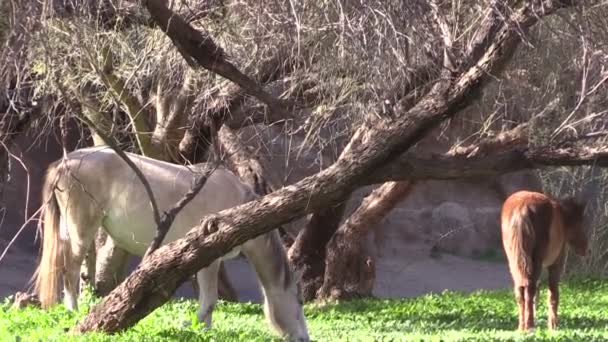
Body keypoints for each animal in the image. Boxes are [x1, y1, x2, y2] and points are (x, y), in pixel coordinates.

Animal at [33, 146, 308, 340]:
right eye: (300, 303)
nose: (304, 338)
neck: (239, 205)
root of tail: (65, 162)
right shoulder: (210, 258)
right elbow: (210, 301)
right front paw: (201, 330)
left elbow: (207, 300)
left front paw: (203, 329)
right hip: (81, 230)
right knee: (70, 268)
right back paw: (73, 310)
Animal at [498, 190, 588, 332]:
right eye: (580, 222)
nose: (585, 247)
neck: (563, 218)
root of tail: (522, 208)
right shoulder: (556, 264)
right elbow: (553, 293)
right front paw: (553, 325)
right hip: (536, 262)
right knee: (529, 289)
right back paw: (529, 326)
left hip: (515, 262)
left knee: (520, 291)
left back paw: (521, 327)